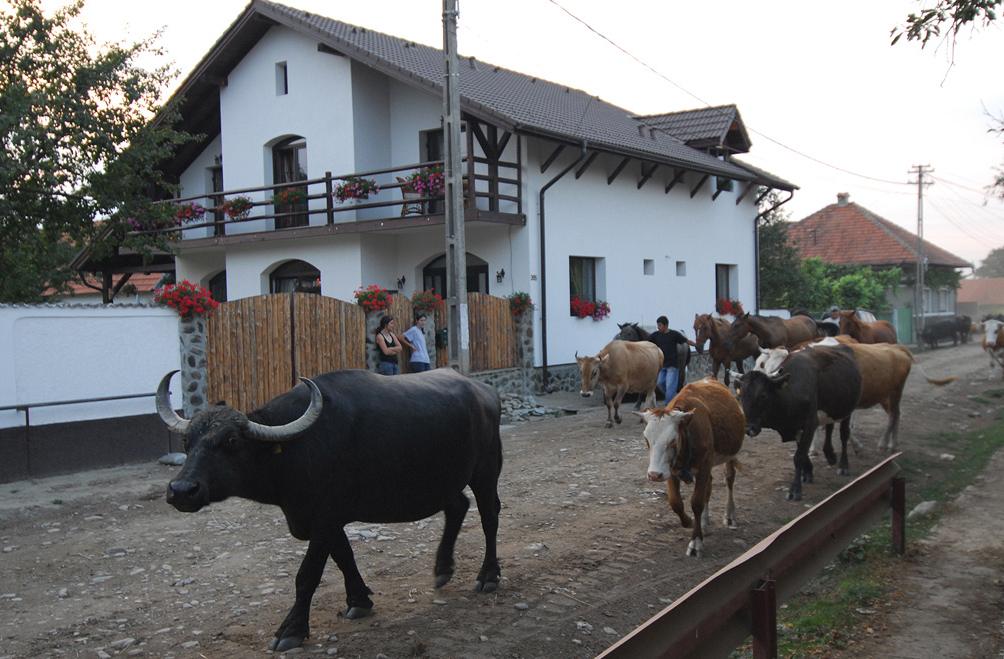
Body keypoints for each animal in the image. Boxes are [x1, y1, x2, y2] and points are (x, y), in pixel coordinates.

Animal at [156, 367, 501, 650]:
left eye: (231, 441)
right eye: (187, 441)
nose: (182, 490)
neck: (295, 450)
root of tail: (486, 391)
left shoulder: (324, 519)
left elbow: (307, 575)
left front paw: (291, 630)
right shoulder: (326, 519)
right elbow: (344, 557)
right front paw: (359, 600)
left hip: (485, 472)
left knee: (489, 518)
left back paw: (488, 576)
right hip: (444, 482)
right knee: (458, 506)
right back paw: (442, 569)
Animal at [634, 377, 746, 558]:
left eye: (673, 441)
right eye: (646, 439)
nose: (654, 475)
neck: (687, 435)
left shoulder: (703, 467)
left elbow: (697, 503)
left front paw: (696, 542)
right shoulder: (671, 471)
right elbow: (675, 502)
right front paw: (691, 522)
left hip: (731, 454)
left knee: (729, 478)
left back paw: (729, 515)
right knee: (709, 487)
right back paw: (705, 523)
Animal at [730, 345, 863, 500]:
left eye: (763, 395)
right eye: (741, 395)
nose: (749, 428)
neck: (789, 394)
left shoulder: (810, 424)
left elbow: (799, 457)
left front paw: (795, 490)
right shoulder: (795, 428)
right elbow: (802, 452)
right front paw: (808, 473)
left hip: (848, 411)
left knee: (844, 435)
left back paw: (843, 466)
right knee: (830, 426)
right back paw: (830, 455)